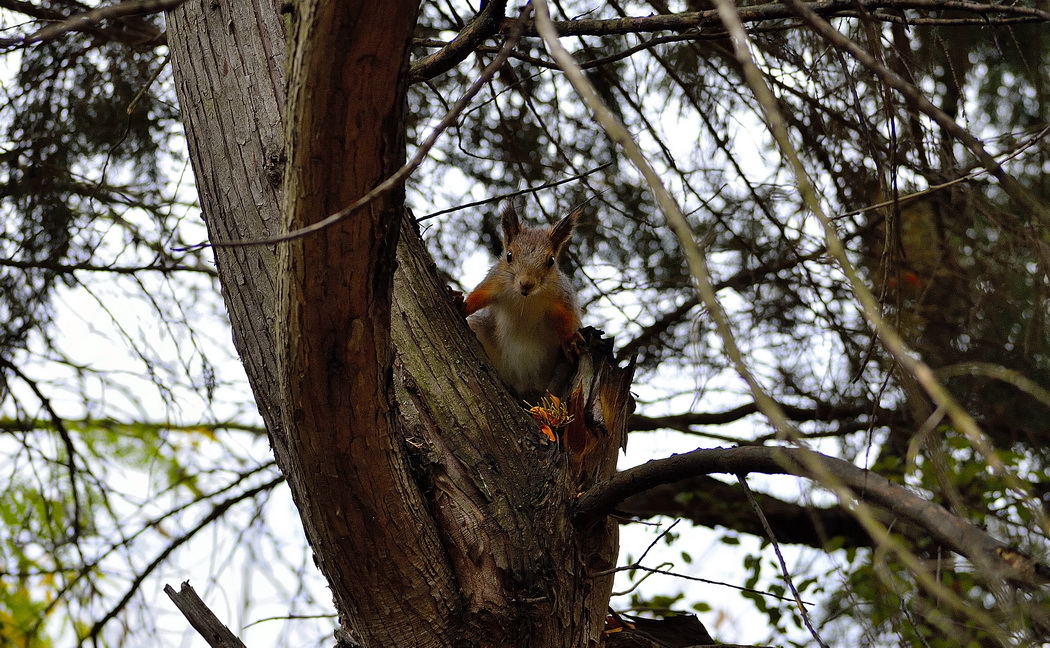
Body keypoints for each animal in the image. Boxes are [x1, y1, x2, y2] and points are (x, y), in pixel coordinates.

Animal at [466, 205, 588, 399]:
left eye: (551, 261)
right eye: (509, 255)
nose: (526, 284)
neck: (526, 299)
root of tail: (526, 386)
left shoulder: (561, 296)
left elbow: (567, 316)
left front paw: (571, 340)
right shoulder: (495, 282)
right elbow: (479, 295)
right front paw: (461, 303)